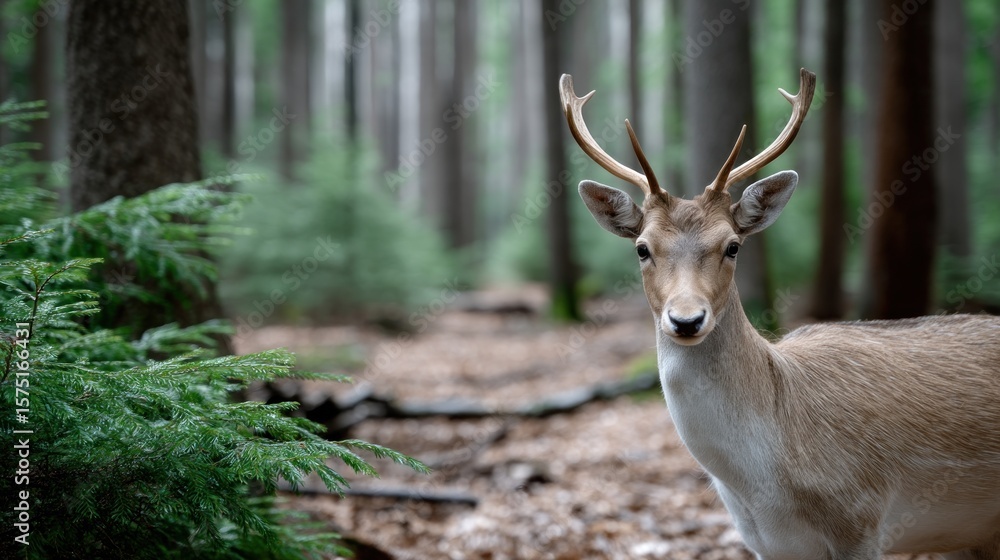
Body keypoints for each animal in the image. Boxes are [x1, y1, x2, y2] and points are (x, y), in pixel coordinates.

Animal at [560, 67, 1000, 560]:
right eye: (642, 248)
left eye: (732, 245)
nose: (687, 320)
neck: (763, 487)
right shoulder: (766, 543)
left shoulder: (862, 518)